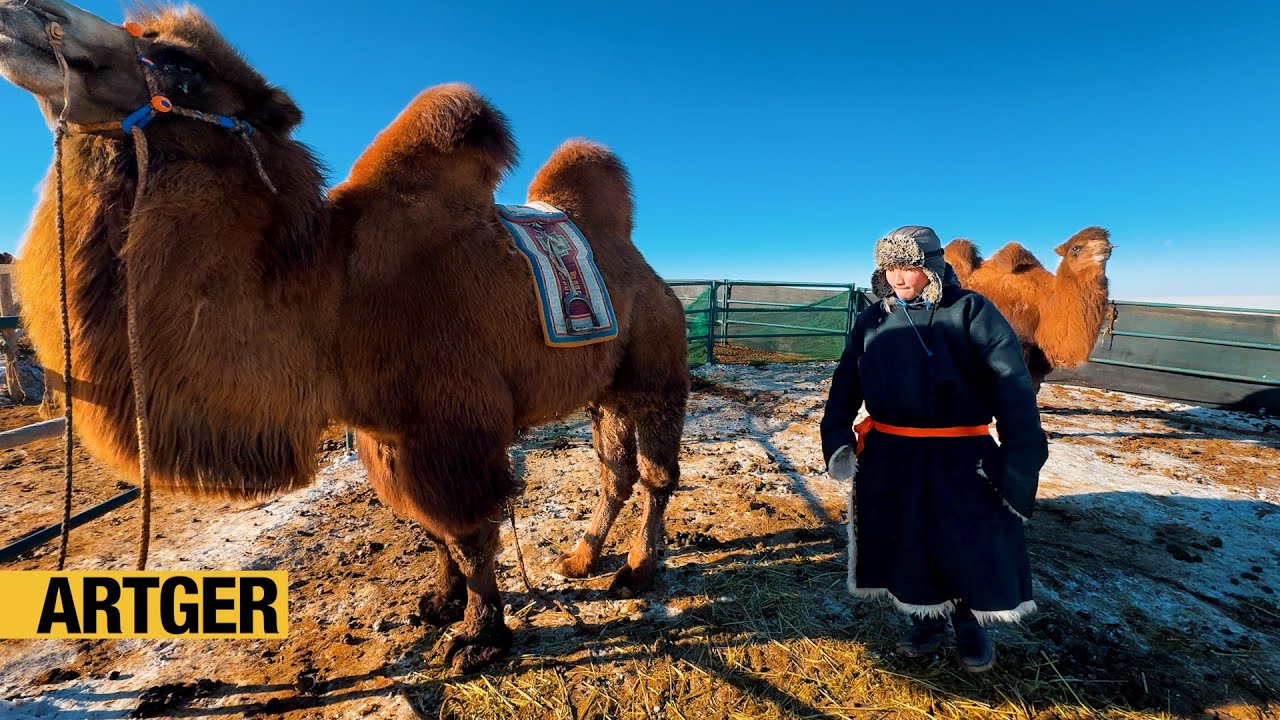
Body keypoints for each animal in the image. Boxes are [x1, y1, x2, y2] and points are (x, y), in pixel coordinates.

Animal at [0, 0, 688, 672]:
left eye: (184, 67)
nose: (29, 16)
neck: (334, 299)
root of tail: (649, 272)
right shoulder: (388, 434)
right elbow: (431, 529)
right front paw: (438, 603)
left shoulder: (451, 423)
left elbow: (468, 533)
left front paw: (478, 637)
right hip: (603, 390)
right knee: (614, 472)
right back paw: (581, 557)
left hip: (656, 365)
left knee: (656, 473)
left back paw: (637, 569)